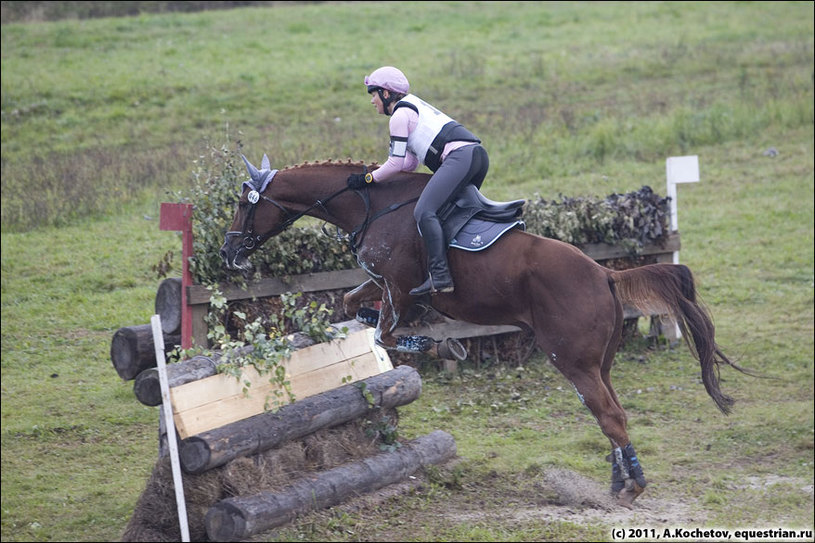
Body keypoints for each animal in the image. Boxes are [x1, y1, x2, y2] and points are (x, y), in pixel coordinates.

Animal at [218, 154, 752, 510]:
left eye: (245, 203)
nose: (227, 252)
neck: (373, 204)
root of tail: (604, 273)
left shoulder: (400, 289)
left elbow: (389, 335)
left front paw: (436, 344)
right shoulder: (383, 286)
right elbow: (354, 307)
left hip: (572, 361)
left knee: (611, 416)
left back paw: (630, 488)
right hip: (598, 362)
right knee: (610, 414)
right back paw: (620, 482)